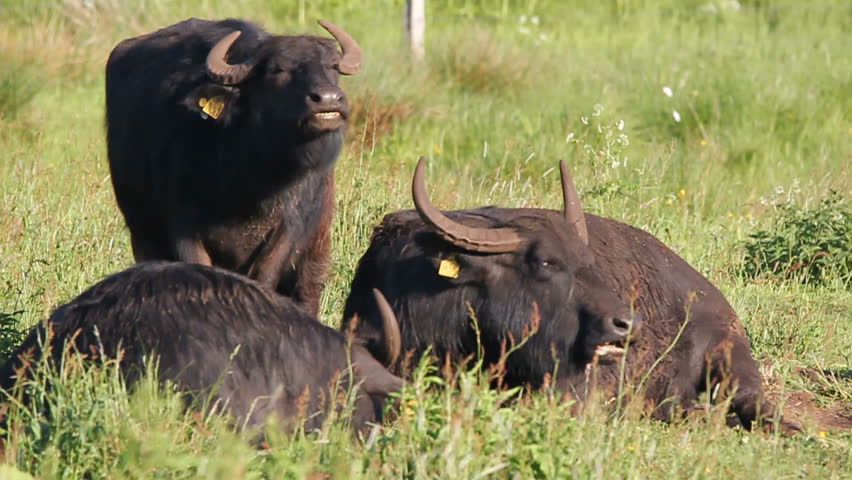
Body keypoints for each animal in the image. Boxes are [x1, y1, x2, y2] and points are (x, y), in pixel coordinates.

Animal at [105, 18, 362, 316]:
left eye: (332, 66)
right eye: (278, 69)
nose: (328, 99)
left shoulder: (289, 229)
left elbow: (265, 274)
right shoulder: (183, 229)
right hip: (142, 232)